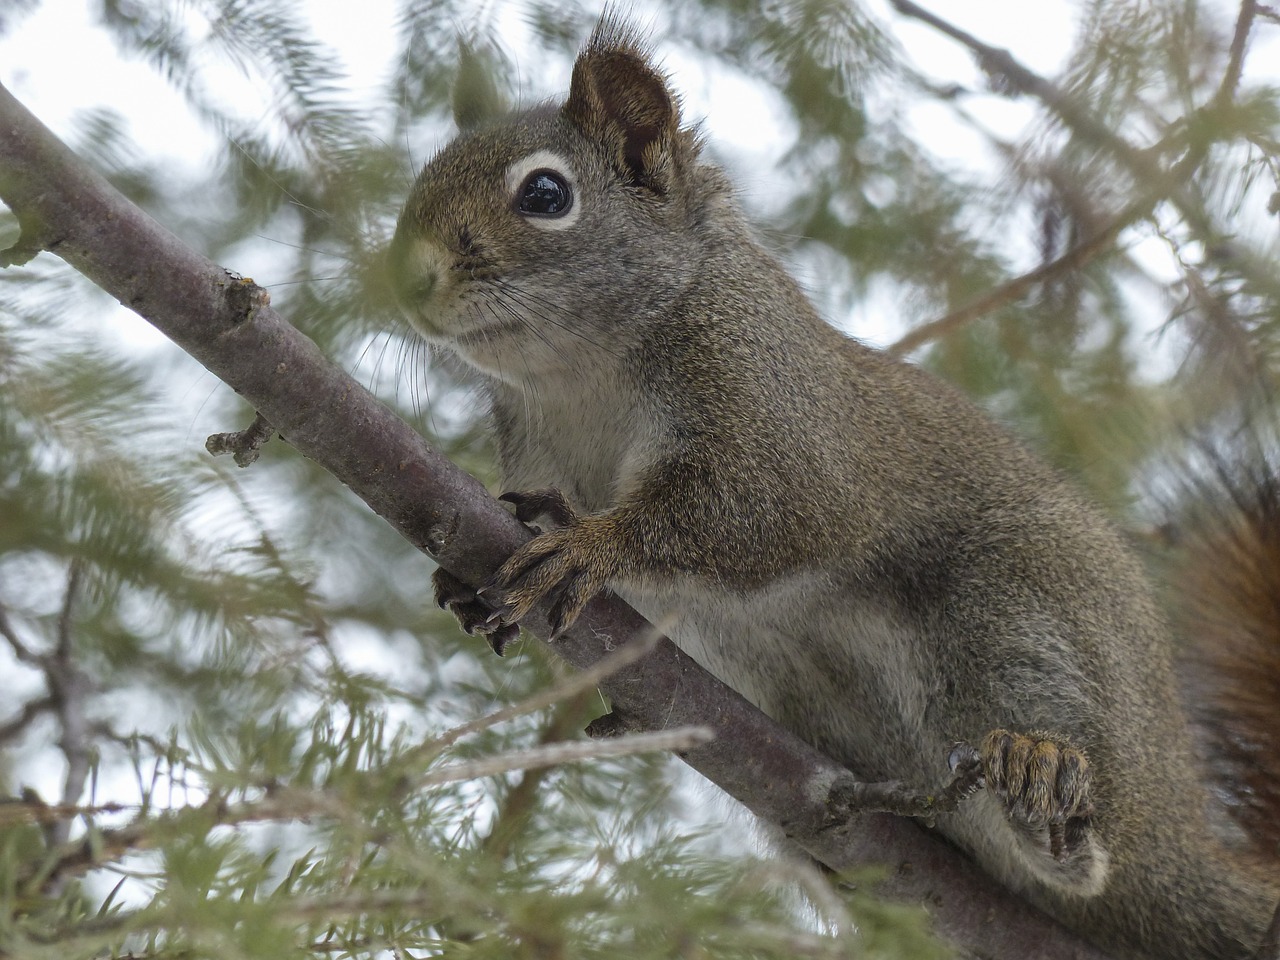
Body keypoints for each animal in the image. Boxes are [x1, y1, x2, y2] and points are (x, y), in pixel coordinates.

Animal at [384, 18, 1280, 960]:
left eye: (546, 193)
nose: (405, 276)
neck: (578, 375)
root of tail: (1183, 835)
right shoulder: (535, 451)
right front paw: (466, 585)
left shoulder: (776, 417)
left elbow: (748, 516)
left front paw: (589, 545)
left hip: (1021, 614)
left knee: (1075, 795)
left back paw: (1046, 787)